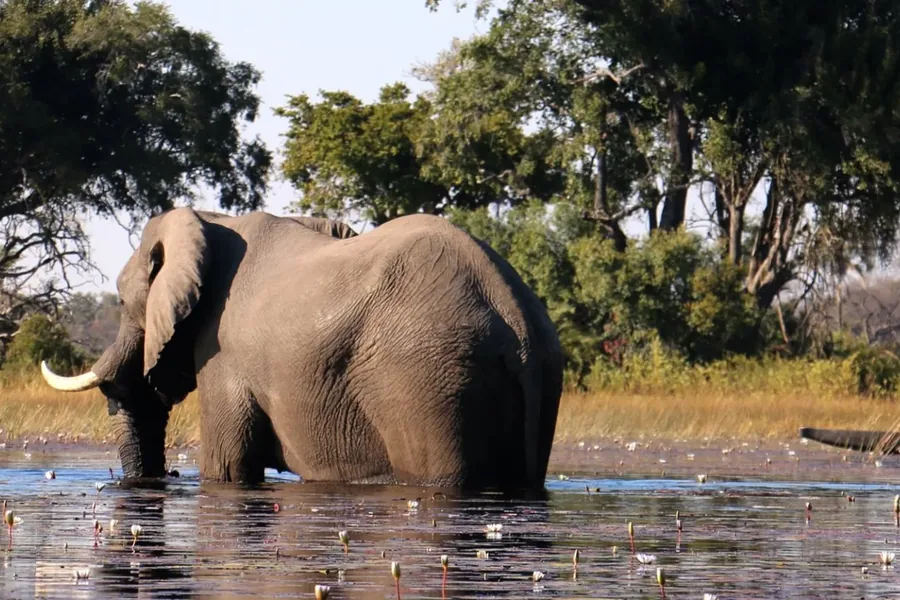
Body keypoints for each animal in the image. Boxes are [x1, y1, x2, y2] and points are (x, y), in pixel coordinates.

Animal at [41, 208, 563, 489]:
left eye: (121, 300)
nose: (160, 479)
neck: (212, 222)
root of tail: (515, 316)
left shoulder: (223, 354)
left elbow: (226, 469)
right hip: (535, 376)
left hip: (428, 380)